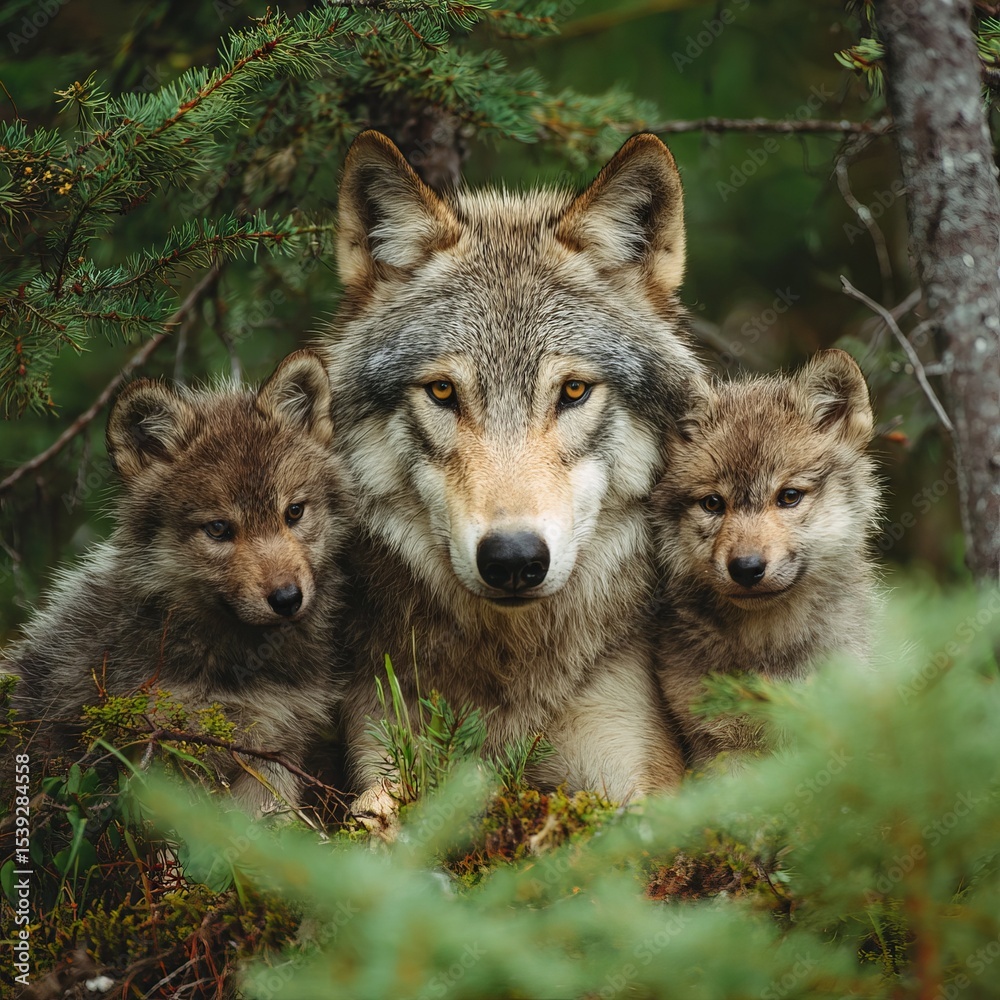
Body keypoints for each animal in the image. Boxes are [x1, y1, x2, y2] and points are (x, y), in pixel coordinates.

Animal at [3, 351, 349, 815]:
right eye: (218, 529)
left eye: (294, 512)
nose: (287, 598)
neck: (240, 664)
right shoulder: (163, 745)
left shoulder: (275, 748)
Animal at [325, 130, 705, 820]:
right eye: (443, 392)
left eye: (574, 390)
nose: (513, 560)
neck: (513, 669)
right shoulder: (380, 738)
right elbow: (377, 812)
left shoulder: (636, 769)